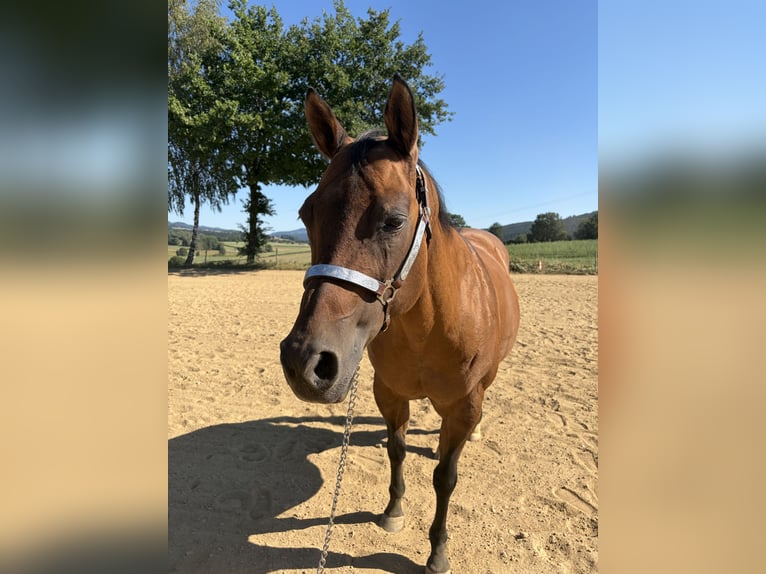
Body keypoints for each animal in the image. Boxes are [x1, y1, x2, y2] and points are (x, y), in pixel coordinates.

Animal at [280, 75, 520, 574]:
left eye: (394, 220)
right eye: (306, 215)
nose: (303, 362)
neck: (426, 326)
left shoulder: (463, 405)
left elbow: (446, 477)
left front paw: (438, 551)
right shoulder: (388, 393)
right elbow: (396, 449)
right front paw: (392, 511)